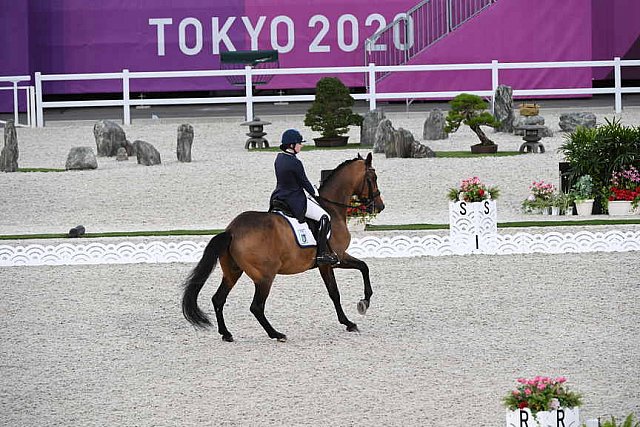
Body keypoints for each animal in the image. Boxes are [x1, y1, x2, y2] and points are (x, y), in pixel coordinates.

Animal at [182, 152, 388, 342]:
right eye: (373, 178)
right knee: (256, 307)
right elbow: (336, 291)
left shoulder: (338, 258)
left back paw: (226, 334)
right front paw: (351, 319)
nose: (380, 206)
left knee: (218, 299)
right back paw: (276, 334)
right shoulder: (331, 260)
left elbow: (362, 267)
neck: (332, 209)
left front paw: (363, 303)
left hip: (233, 272)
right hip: (265, 277)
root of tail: (232, 231)